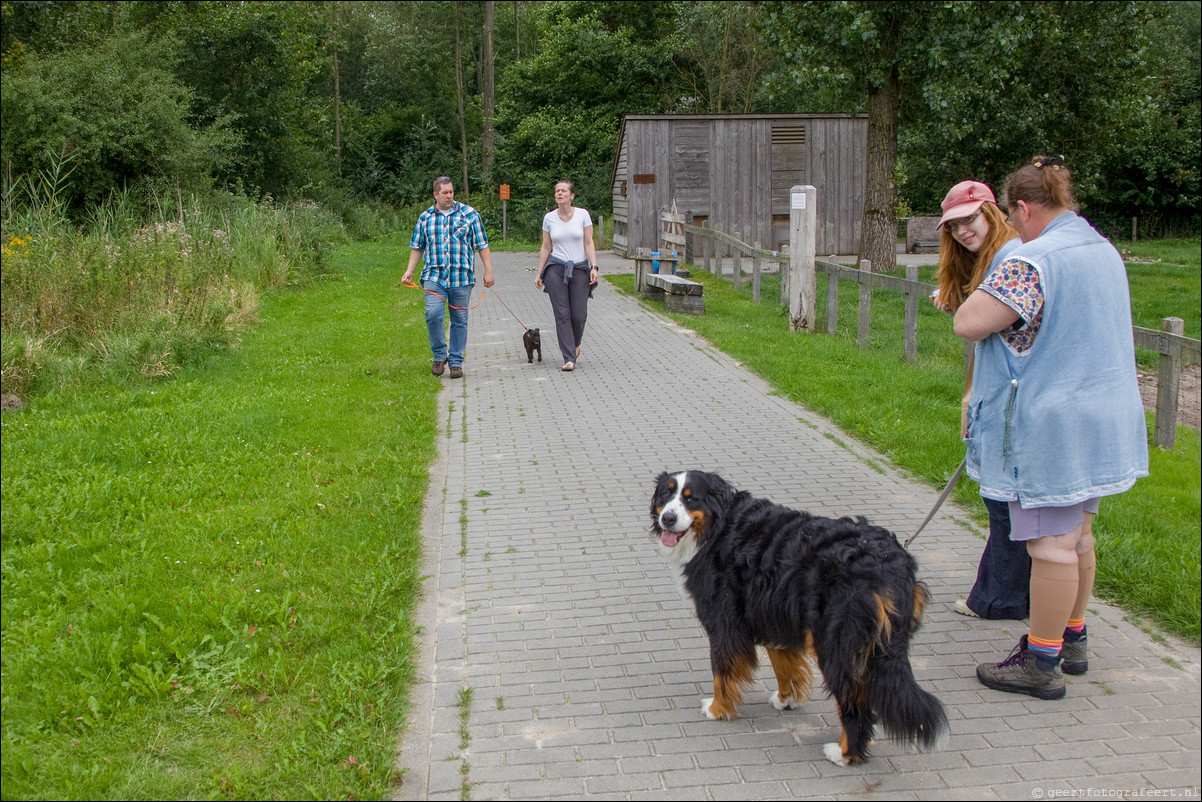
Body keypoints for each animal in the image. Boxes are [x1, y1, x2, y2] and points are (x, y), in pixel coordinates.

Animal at [649, 471, 947, 764]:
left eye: (691, 499)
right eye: (666, 494)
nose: (668, 518)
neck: (720, 529)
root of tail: (890, 564)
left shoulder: (724, 622)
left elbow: (722, 673)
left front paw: (717, 708)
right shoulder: (774, 613)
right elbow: (784, 664)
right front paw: (786, 699)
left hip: (836, 645)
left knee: (854, 703)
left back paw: (845, 753)